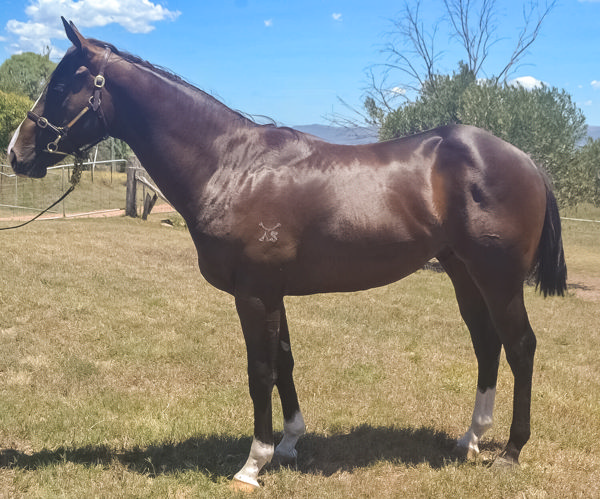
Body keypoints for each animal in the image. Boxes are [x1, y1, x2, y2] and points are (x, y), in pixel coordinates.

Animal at [7, 18, 564, 492]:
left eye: (60, 86)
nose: (17, 152)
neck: (232, 166)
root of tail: (525, 160)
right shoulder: (273, 292)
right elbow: (286, 362)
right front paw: (290, 443)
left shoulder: (254, 294)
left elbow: (260, 371)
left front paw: (253, 464)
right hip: (463, 272)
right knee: (486, 344)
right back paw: (470, 440)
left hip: (498, 278)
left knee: (520, 346)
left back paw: (510, 452)